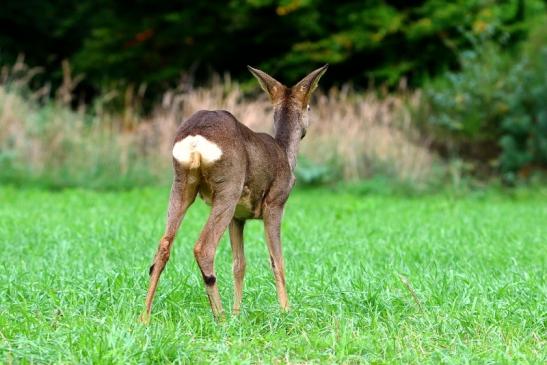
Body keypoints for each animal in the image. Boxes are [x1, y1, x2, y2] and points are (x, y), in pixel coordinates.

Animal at [142, 65, 330, 322]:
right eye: (309, 106)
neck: (285, 154)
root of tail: (195, 137)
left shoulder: (238, 217)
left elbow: (239, 264)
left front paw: (237, 314)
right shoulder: (275, 202)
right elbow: (277, 261)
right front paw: (285, 311)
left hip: (181, 183)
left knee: (163, 245)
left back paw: (144, 317)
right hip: (228, 186)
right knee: (203, 247)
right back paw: (219, 318)